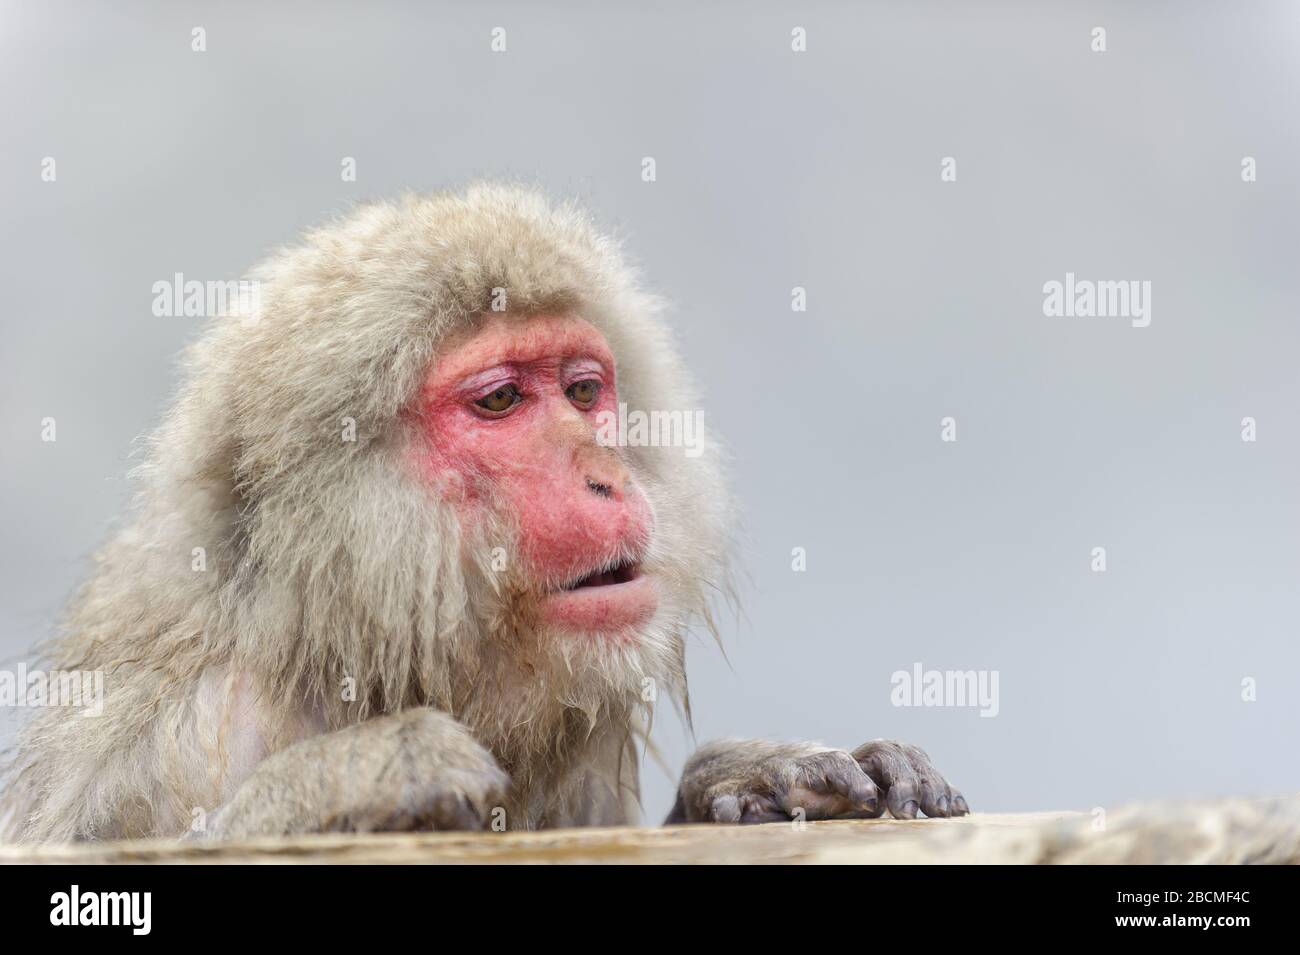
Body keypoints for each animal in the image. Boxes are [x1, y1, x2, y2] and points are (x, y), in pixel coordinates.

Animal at [0, 183, 972, 841]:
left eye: (582, 391)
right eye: (501, 400)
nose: (605, 480)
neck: (336, 636)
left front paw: (749, 777)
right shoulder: (185, 732)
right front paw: (357, 776)